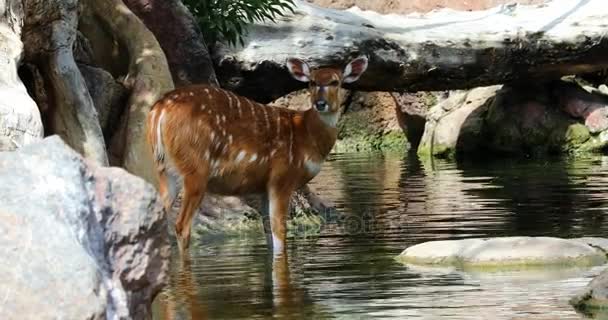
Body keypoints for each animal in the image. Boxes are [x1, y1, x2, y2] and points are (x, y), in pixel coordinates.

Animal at [145, 56, 368, 254]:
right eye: (312, 82)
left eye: (335, 82)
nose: (320, 103)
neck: (304, 136)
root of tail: (160, 110)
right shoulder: (282, 177)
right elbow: (280, 233)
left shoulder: (263, 186)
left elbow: (268, 234)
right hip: (195, 167)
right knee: (182, 226)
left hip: (164, 169)